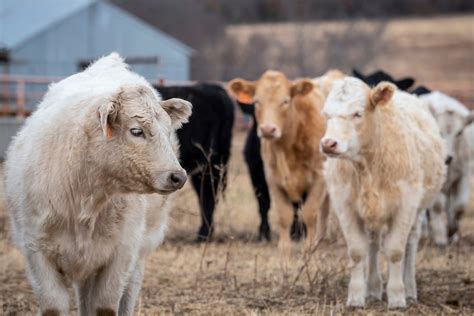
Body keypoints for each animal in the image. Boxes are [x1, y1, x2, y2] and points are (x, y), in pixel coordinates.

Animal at [3, 53, 193, 314]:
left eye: (167, 131)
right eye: (136, 131)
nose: (178, 176)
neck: (84, 192)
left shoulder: (121, 253)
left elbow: (104, 305)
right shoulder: (36, 250)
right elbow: (54, 306)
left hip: (140, 251)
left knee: (128, 292)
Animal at [230, 71, 330, 260]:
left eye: (285, 101)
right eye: (256, 101)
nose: (268, 129)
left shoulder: (319, 179)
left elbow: (310, 214)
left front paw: (310, 255)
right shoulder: (273, 180)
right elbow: (284, 216)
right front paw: (285, 260)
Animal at [320, 77, 446, 308]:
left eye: (357, 113)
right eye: (326, 114)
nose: (328, 144)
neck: (368, 166)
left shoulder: (406, 205)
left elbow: (395, 251)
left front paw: (397, 296)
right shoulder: (345, 205)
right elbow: (358, 251)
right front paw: (356, 296)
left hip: (418, 211)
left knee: (411, 243)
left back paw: (410, 289)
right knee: (374, 242)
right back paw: (373, 288)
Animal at [420, 91, 472, 244]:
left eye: (459, 132)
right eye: (438, 130)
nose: (448, 158)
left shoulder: (463, 176)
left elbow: (460, 207)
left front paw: (452, 232)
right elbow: (437, 207)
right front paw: (440, 239)